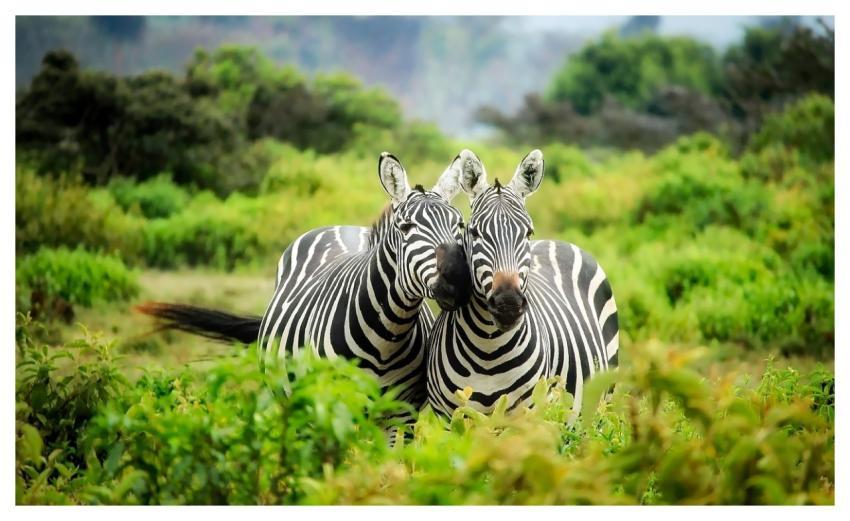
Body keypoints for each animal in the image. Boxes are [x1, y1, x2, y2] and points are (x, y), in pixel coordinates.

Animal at [139, 152, 472, 416]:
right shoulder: (332, 404)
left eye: (460, 225)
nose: (458, 279)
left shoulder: (400, 414)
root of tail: (341, 226)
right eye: (406, 227)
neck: (387, 336)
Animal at [426, 149, 619, 420]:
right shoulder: (448, 419)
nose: (508, 304)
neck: (487, 351)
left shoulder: (527, 416)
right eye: (474, 232)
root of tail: (557, 241)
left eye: (528, 233)